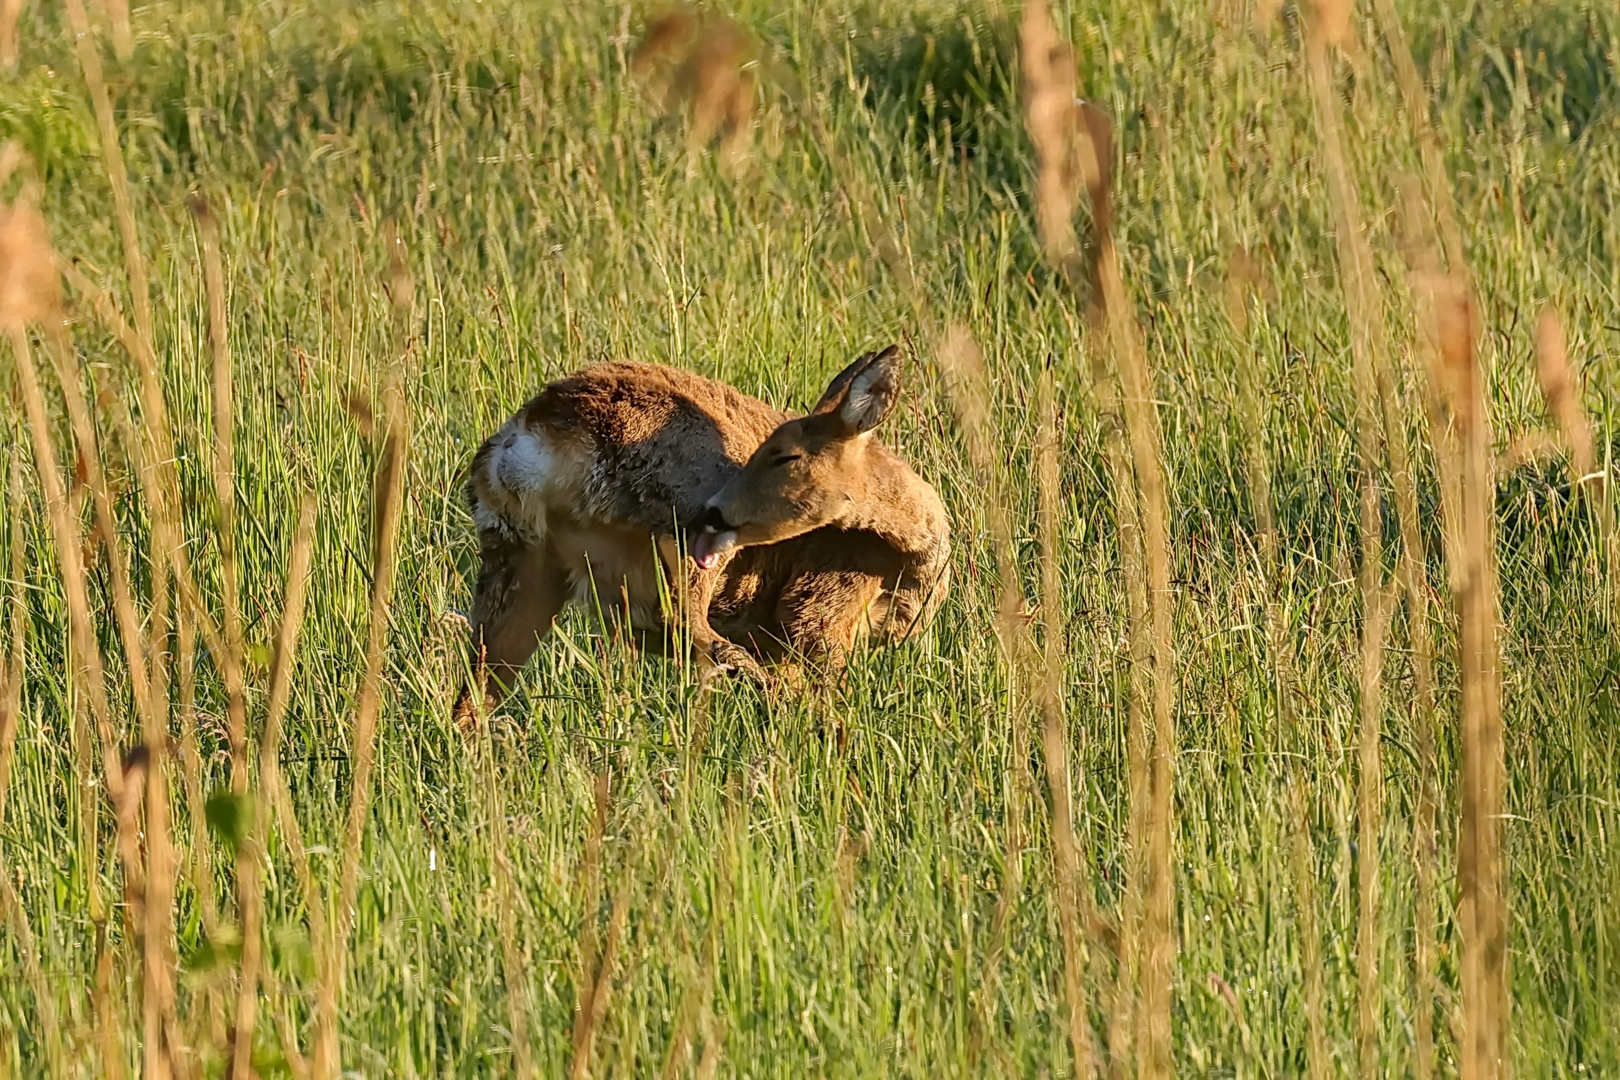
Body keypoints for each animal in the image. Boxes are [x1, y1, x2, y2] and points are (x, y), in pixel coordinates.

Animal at [453, 341, 946, 722]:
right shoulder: (821, 605)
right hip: (684, 521)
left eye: (784, 455)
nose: (717, 508)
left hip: (517, 549)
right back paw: (766, 689)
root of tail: (536, 430)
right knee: (680, 617)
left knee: (480, 676)